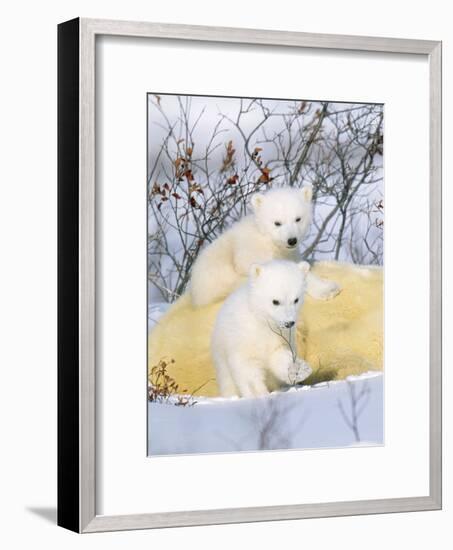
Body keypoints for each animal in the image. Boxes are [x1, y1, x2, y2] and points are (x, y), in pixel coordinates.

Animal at [188, 184, 340, 306]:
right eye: (277, 223)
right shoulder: (251, 254)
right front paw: (327, 290)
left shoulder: (288, 253)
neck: (268, 239)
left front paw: (329, 288)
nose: (292, 240)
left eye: (298, 219)